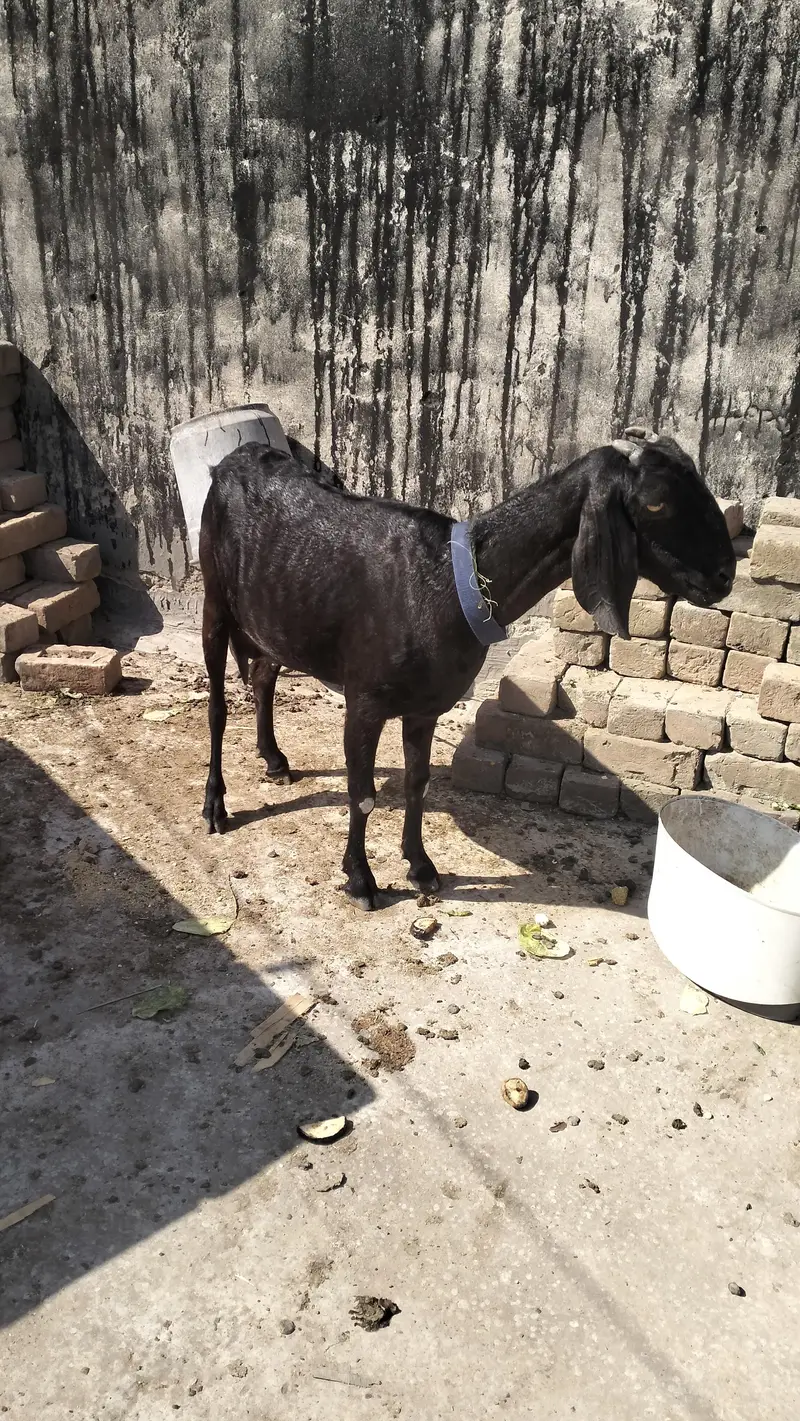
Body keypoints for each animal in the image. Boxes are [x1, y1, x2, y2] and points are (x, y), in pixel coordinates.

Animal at [199, 430, 735, 910]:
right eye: (656, 503)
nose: (725, 575)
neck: (451, 585)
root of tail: (234, 458)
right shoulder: (364, 702)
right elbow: (363, 793)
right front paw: (361, 880)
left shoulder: (426, 707)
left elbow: (417, 783)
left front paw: (420, 867)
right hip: (215, 600)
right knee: (218, 709)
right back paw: (215, 808)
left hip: (274, 616)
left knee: (263, 675)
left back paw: (274, 759)